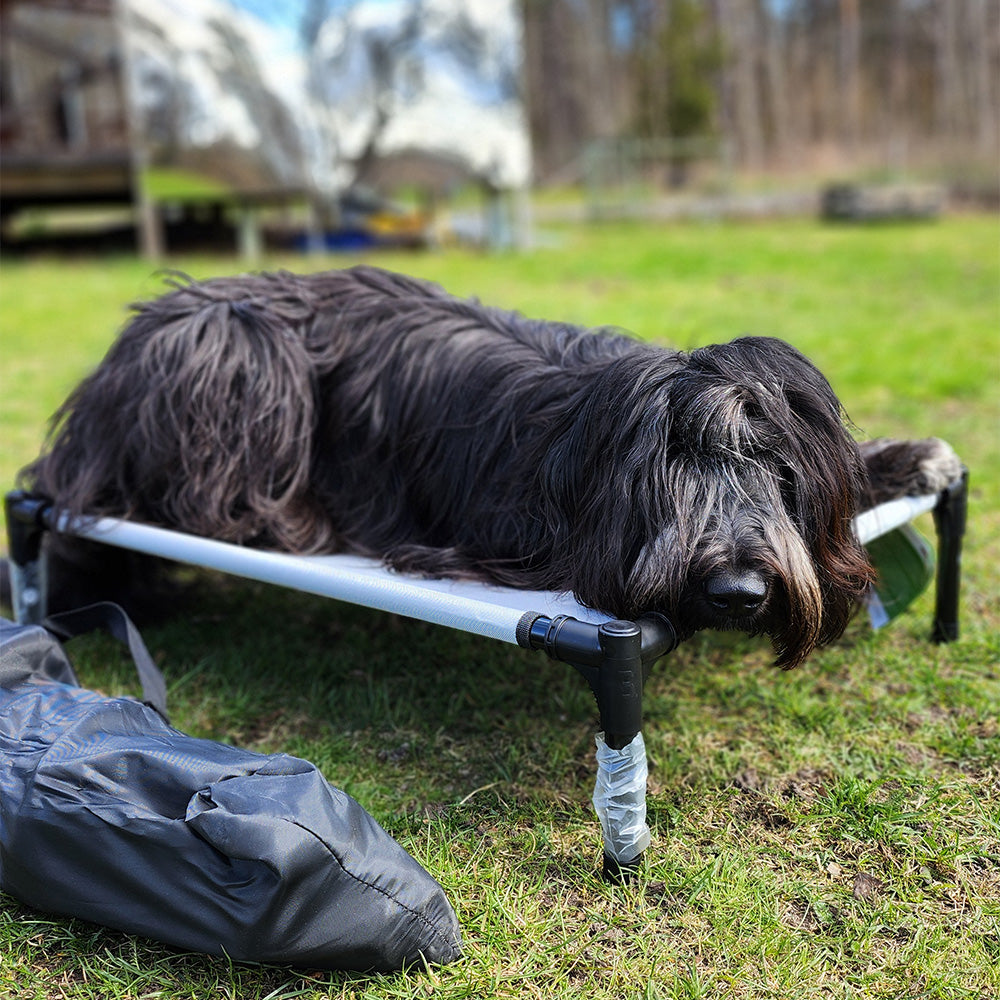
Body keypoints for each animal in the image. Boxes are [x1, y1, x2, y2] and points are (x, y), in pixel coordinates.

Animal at [19, 270, 964, 668]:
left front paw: (907, 458)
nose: (737, 592)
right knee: (198, 492)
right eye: (673, 474)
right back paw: (289, 520)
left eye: (783, 475)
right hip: (236, 347)